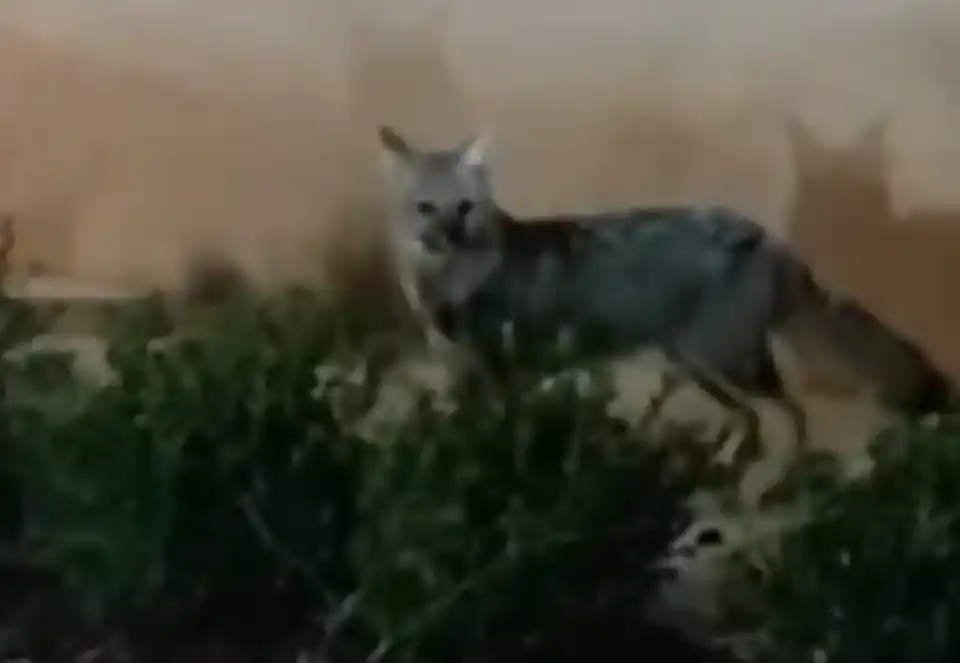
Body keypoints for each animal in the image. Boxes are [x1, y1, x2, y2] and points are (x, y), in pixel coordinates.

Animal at [376, 125, 959, 470]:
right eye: (426, 209)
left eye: (464, 208)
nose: (448, 237)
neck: (448, 286)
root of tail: (769, 235)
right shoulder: (461, 370)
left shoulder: (503, 372)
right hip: (699, 366)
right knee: (750, 421)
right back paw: (726, 468)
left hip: (728, 364)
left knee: (791, 415)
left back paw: (780, 482)